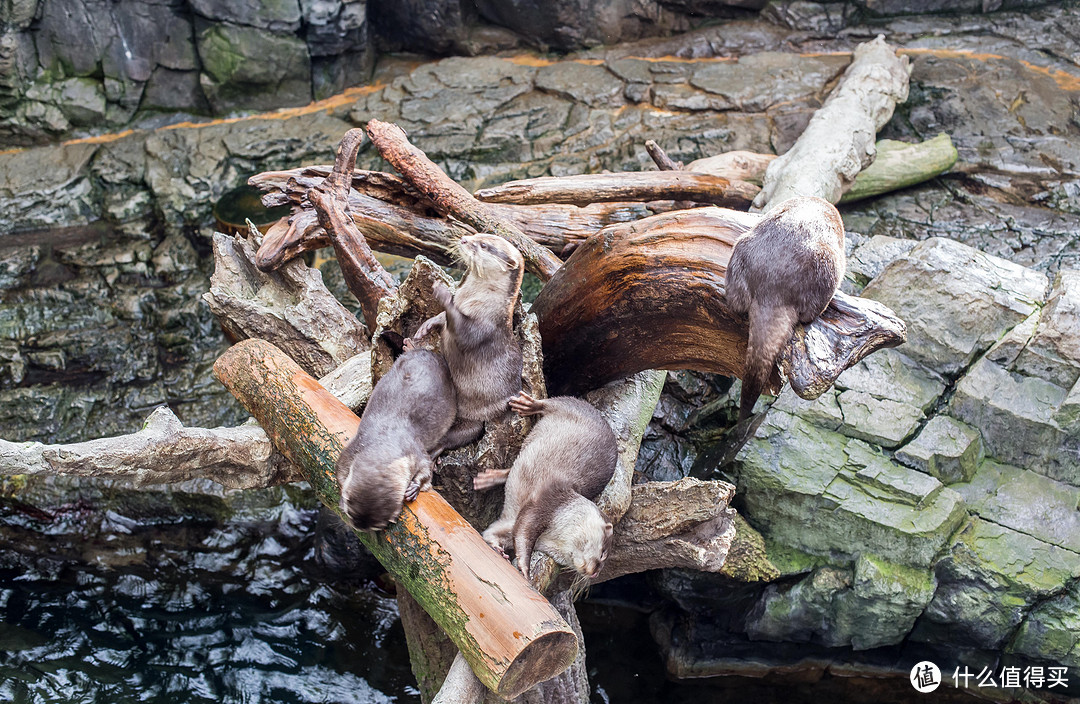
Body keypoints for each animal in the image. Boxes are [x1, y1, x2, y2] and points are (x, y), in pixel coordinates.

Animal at [336, 343, 455, 531]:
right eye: (350, 514)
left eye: (376, 527)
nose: (357, 528)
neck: (385, 440)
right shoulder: (356, 445)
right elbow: (340, 468)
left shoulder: (415, 451)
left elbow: (426, 468)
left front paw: (414, 488)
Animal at [410, 233, 524, 449]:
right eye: (477, 234)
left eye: (484, 245)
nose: (464, 239)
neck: (474, 298)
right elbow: (442, 318)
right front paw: (426, 326)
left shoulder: (485, 324)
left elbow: (461, 329)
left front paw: (443, 294)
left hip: (477, 417)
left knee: (453, 436)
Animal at [473, 393, 617, 578]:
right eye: (603, 553)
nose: (596, 573)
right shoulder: (545, 500)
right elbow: (524, 531)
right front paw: (525, 569)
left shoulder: (511, 523)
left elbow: (496, 531)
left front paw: (498, 547)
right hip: (571, 406)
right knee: (552, 402)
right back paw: (528, 404)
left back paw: (486, 479)